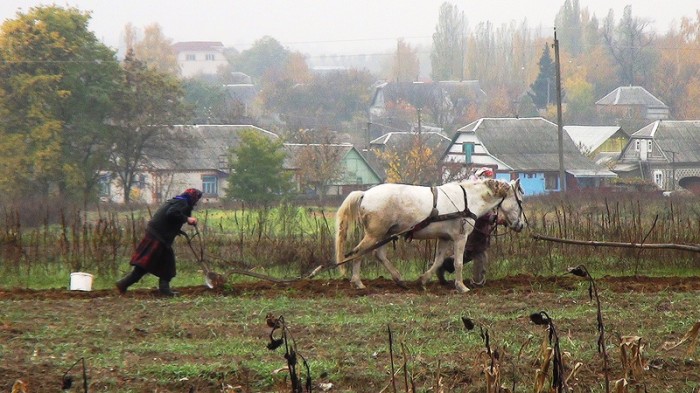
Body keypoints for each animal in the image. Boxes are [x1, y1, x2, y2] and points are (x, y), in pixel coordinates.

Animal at [334, 178, 524, 290]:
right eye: (520, 201)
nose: (521, 225)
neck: (468, 200)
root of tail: (365, 194)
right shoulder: (460, 237)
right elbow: (458, 263)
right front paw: (461, 286)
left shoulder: (445, 238)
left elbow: (438, 260)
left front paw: (423, 280)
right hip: (375, 234)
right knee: (359, 252)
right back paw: (358, 282)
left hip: (385, 235)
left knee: (378, 255)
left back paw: (400, 280)